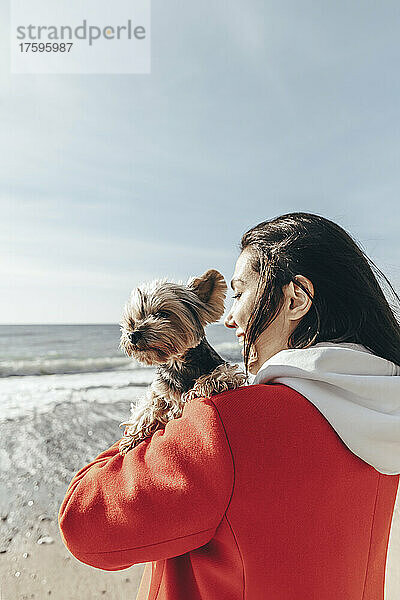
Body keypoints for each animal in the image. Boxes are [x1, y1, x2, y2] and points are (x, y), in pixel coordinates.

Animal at [117, 268, 245, 454]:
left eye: (162, 314)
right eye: (133, 318)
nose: (132, 334)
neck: (178, 362)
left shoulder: (228, 372)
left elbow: (220, 375)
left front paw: (197, 389)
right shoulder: (160, 390)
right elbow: (149, 404)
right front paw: (132, 435)